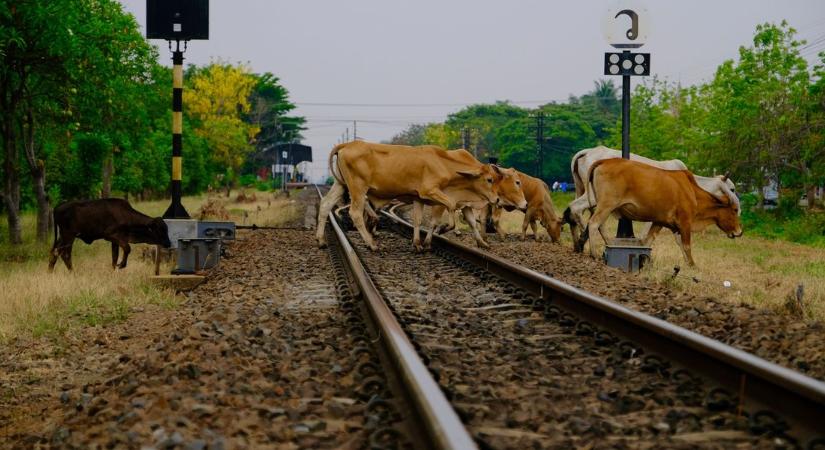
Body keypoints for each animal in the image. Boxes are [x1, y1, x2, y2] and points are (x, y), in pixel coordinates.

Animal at [318, 141, 524, 250]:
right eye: (489, 179)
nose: (496, 199)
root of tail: (348, 143)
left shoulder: (418, 198)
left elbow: (418, 220)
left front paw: (417, 243)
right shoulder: (432, 193)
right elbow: (445, 212)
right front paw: (442, 230)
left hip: (340, 185)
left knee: (325, 205)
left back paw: (321, 240)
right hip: (358, 189)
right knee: (355, 213)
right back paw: (371, 243)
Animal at [580, 158, 740, 266]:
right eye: (734, 210)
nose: (739, 232)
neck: (692, 192)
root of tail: (604, 161)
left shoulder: (660, 222)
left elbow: (648, 241)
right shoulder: (685, 222)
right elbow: (686, 245)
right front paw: (692, 264)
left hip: (603, 206)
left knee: (600, 226)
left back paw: (609, 244)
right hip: (606, 205)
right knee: (594, 223)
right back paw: (594, 254)